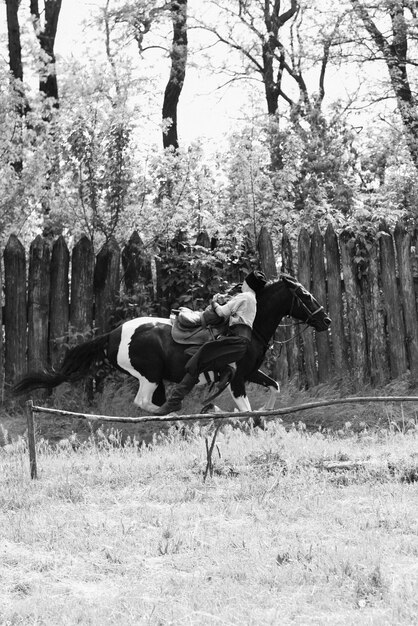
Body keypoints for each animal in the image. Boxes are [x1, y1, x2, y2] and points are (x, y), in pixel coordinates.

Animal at [13, 274, 330, 414]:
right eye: (305, 295)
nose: (325, 319)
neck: (248, 328)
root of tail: (113, 334)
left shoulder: (250, 372)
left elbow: (274, 388)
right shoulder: (238, 378)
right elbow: (247, 412)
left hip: (156, 379)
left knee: (154, 402)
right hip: (150, 376)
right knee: (144, 403)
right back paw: (179, 413)